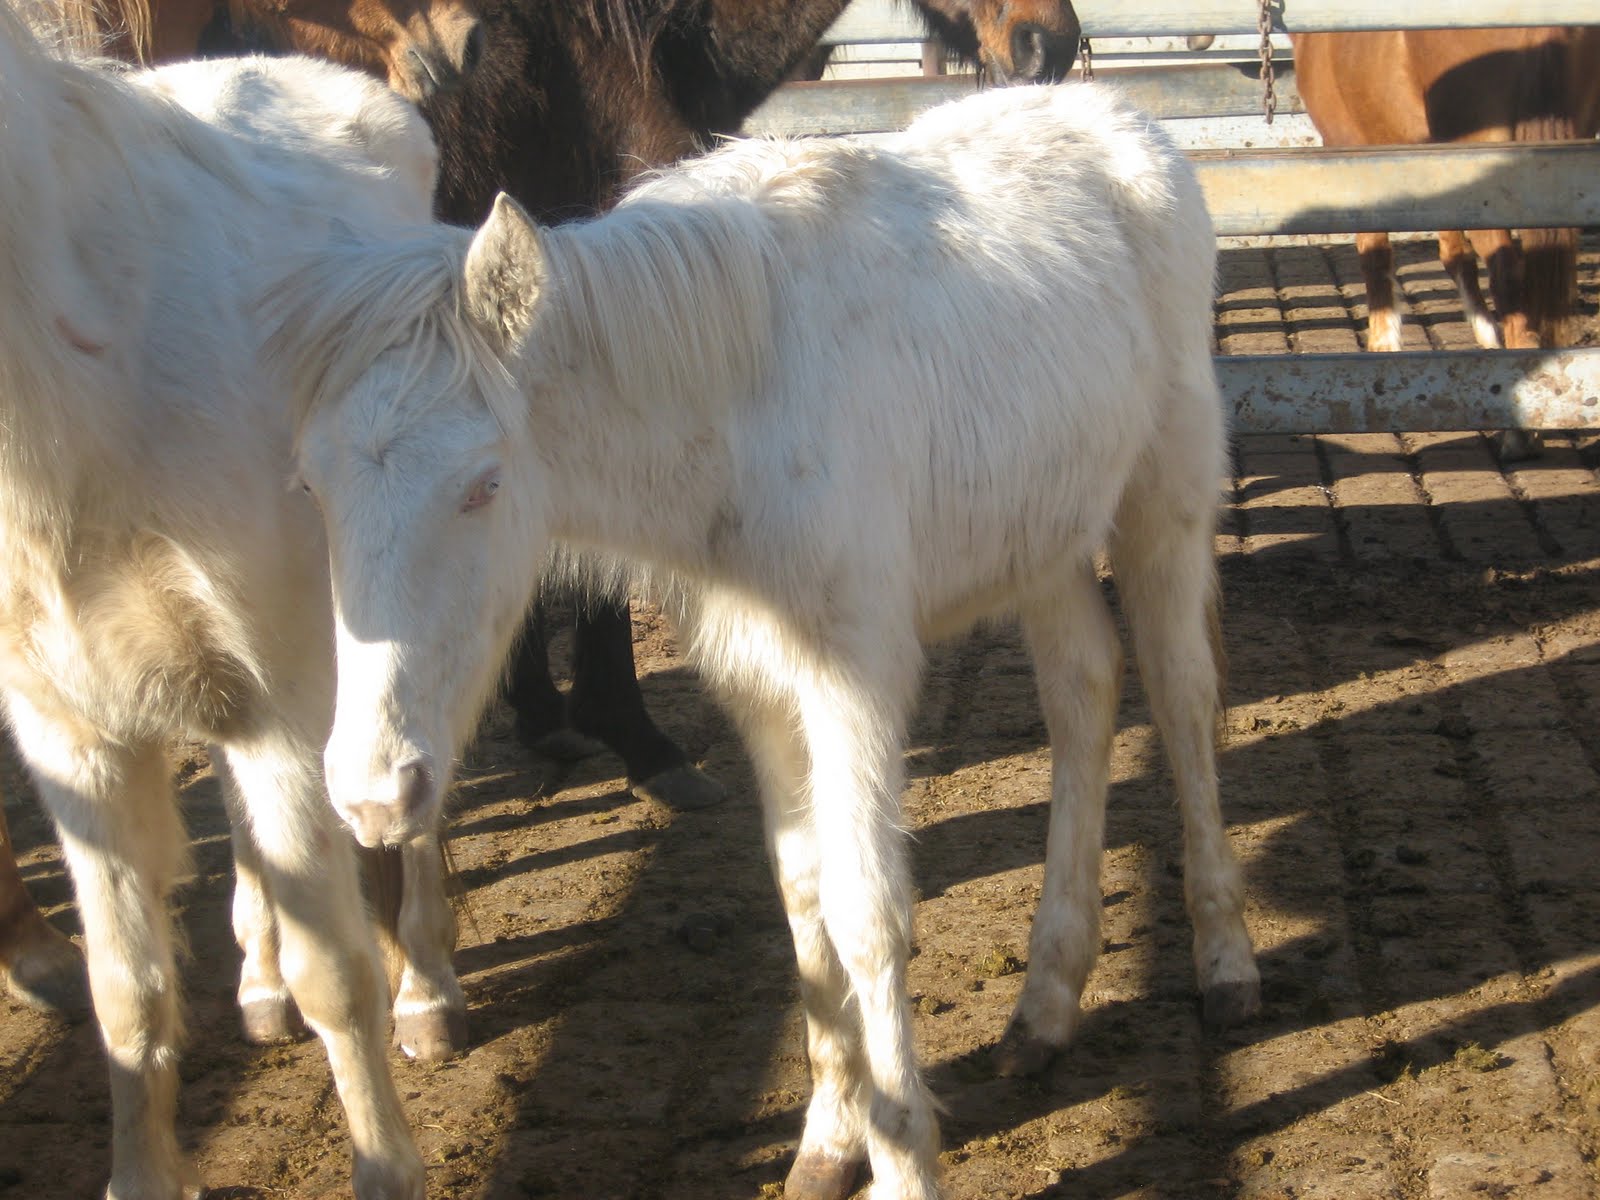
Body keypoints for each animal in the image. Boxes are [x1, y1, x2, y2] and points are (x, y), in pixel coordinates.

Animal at [0, 5, 443, 1193]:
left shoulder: (283, 705)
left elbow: (339, 971)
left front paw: (386, 1168)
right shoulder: (73, 741)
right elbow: (126, 993)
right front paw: (144, 1177)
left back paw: (430, 990)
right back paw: (258, 983)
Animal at [276, 81, 1262, 1200]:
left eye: (482, 483)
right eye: (311, 484)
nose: (371, 794)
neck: (736, 402)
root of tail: (1116, 114)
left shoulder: (857, 675)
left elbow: (868, 910)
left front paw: (903, 1160)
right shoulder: (759, 679)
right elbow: (804, 897)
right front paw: (829, 1143)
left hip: (1163, 499)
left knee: (1181, 696)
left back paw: (1227, 963)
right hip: (1043, 533)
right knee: (1084, 691)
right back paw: (1044, 1010)